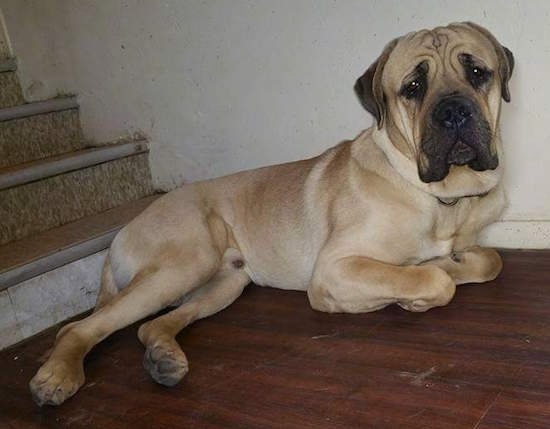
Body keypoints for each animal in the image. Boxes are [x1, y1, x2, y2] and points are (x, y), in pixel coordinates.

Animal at [30, 22, 516, 404]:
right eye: (413, 88)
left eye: (478, 73)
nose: (454, 112)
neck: (442, 198)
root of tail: (122, 231)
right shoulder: (334, 269)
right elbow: (433, 279)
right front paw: (428, 279)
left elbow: (491, 260)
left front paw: (455, 261)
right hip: (183, 264)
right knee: (76, 329)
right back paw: (57, 376)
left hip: (223, 284)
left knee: (151, 326)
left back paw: (164, 358)